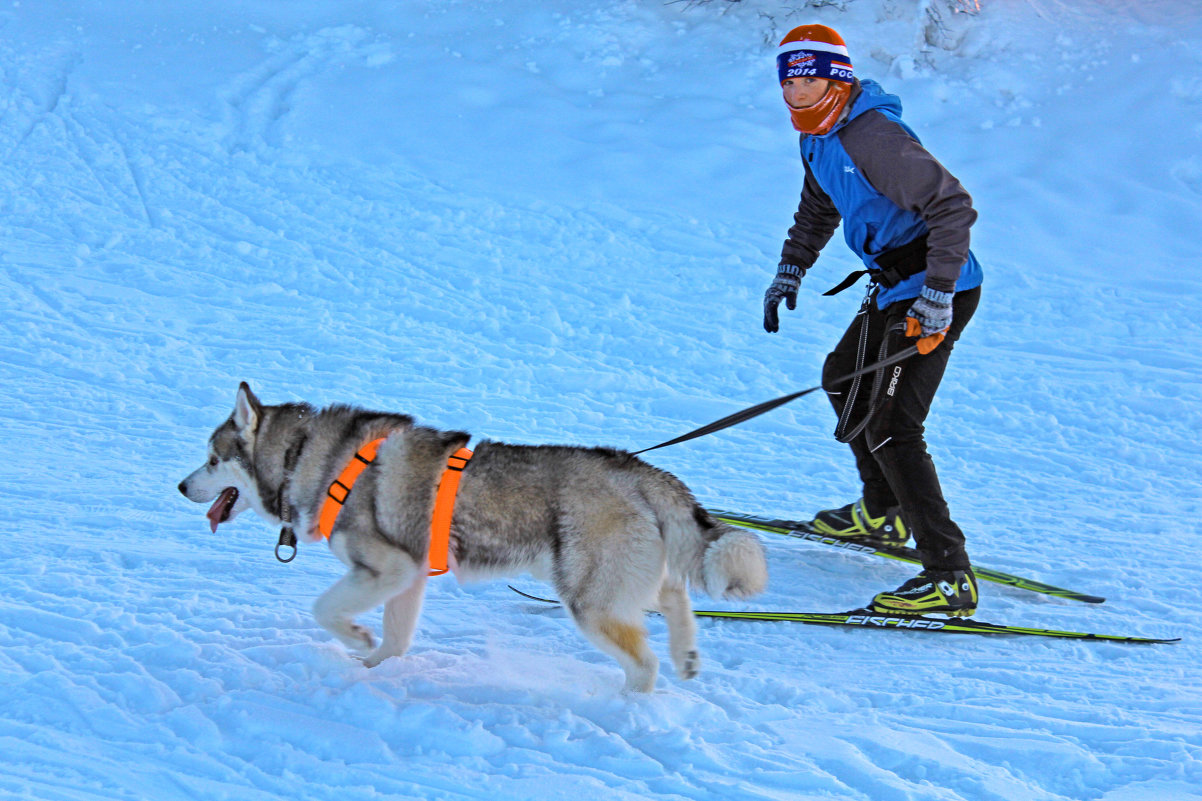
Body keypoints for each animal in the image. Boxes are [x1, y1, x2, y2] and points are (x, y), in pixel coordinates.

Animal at [180, 384, 769, 687]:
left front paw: (358, 641)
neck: (310, 458)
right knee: (675, 596)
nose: (181, 485)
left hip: (591, 602)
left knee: (644, 662)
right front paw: (372, 669)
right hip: (628, 580)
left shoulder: (387, 567)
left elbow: (324, 609)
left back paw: (631, 710)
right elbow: (396, 639)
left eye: (211, 459)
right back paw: (686, 655)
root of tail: (639, 470)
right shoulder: (409, 577)